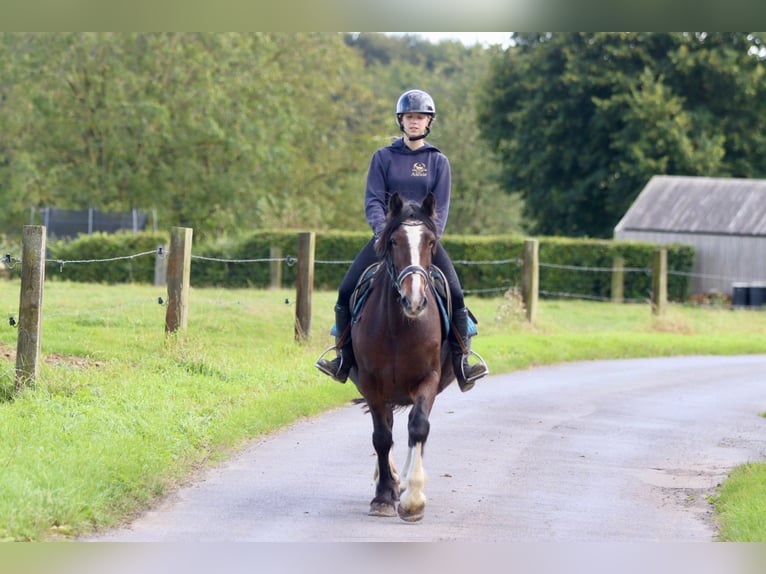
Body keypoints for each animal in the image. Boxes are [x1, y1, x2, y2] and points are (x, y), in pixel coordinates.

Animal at [350, 192, 462, 520]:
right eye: (394, 241)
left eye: (430, 242)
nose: (414, 301)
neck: (400, 326)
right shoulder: (371, 382)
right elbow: (382, 436)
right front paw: (383, 496)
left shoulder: (429, 378)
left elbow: (418, 426)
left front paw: (413, 499)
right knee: (386, 427)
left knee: (414, 429)